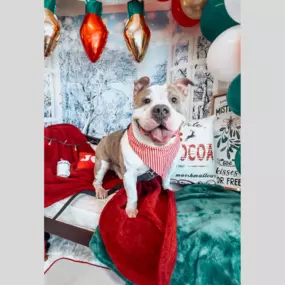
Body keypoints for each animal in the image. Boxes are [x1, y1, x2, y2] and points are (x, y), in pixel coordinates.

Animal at [92, 75, 192, 217]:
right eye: (146, 100)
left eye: (174, 99)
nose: (161, 109)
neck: (156, 148)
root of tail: (105, 137)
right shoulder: (130, 175)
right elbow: (133, 195)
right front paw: (131, 209)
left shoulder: (169, 166)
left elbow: (166, 180)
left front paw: (168, 190)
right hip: (102, 163)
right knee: (96, 180)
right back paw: (100, 189)